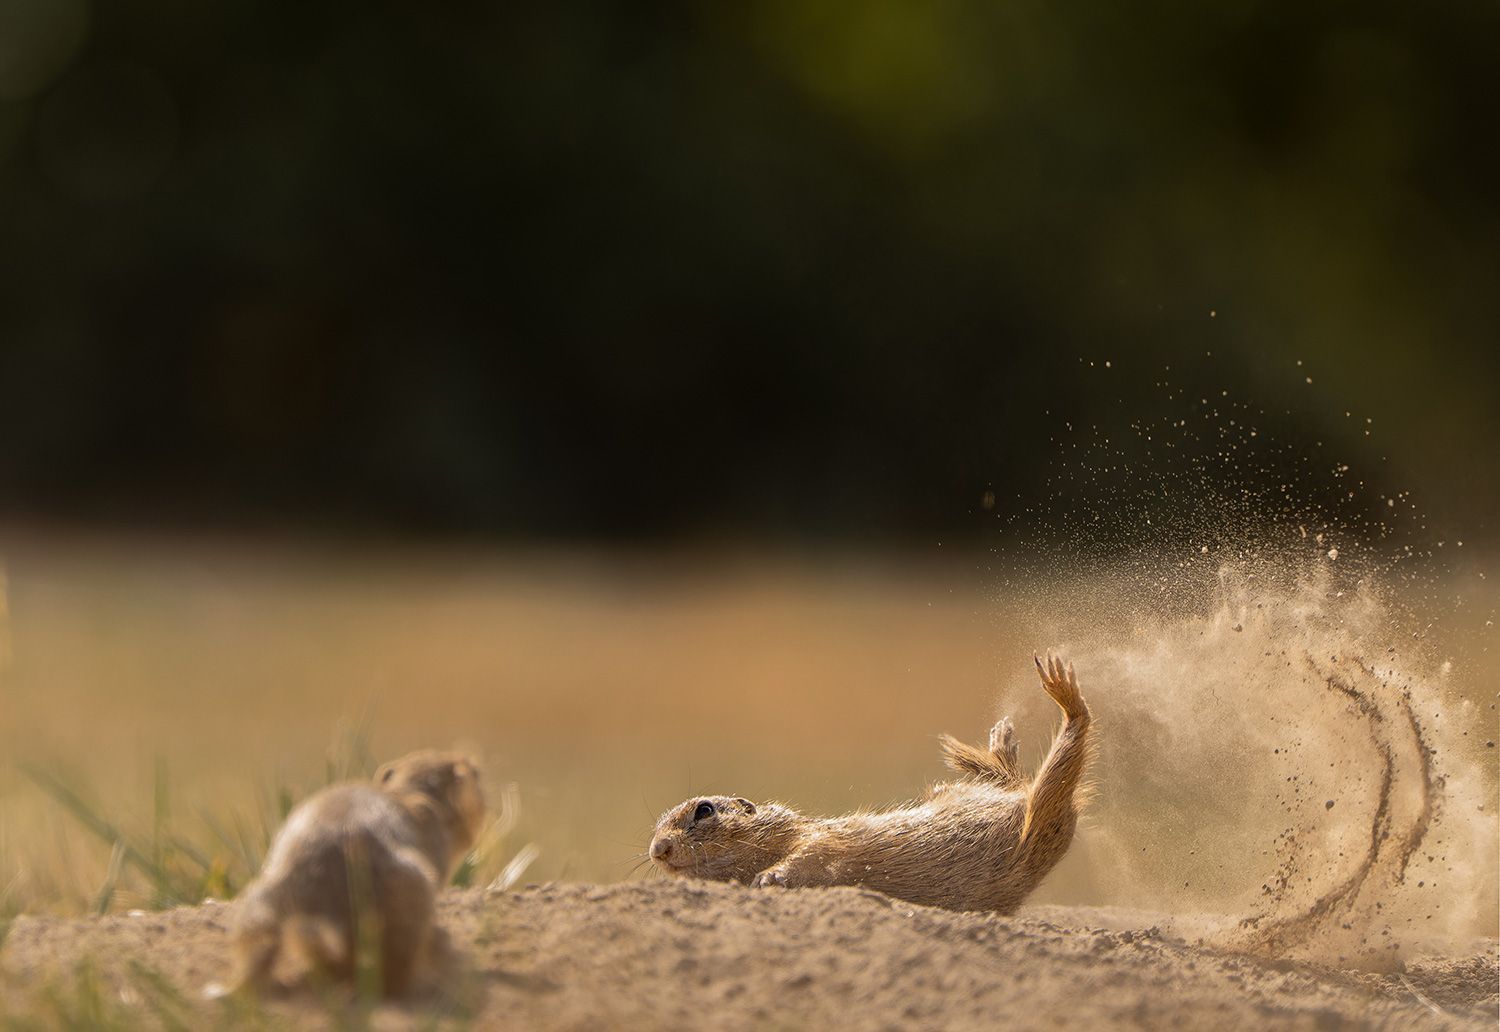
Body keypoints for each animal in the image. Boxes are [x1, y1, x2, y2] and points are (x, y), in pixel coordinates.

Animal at [645, 654, 1092, 912]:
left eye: (704, 810)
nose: (657, 849)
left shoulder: (818, 839)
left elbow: (810, 853)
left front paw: (768, 877)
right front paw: (768, 879)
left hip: (1035, 811)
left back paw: (1034, 714)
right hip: (1043, 811)